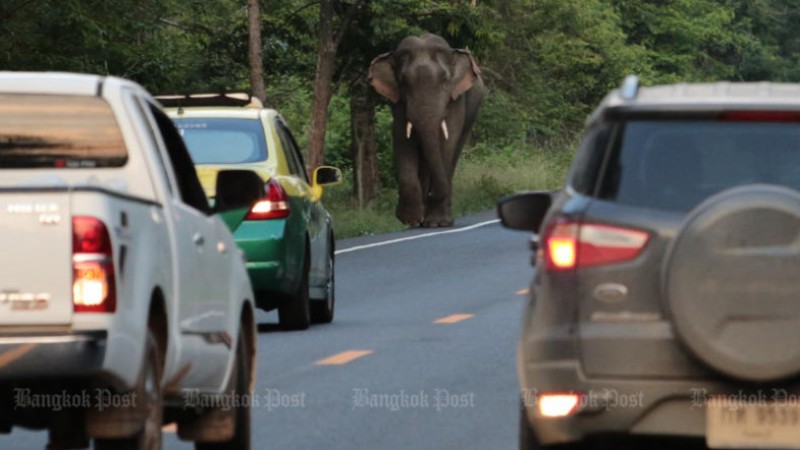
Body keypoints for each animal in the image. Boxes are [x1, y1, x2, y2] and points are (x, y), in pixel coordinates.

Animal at [369, 33, 484, 228]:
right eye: (403, 82)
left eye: (445, 80)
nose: (430, 195)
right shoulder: (398, 102)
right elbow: (403, 139)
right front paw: (409, 219)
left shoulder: (456, 99)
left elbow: (447, 141)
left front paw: (436, 222)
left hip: (472, 111)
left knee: (454, 153)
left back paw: (441, 221)